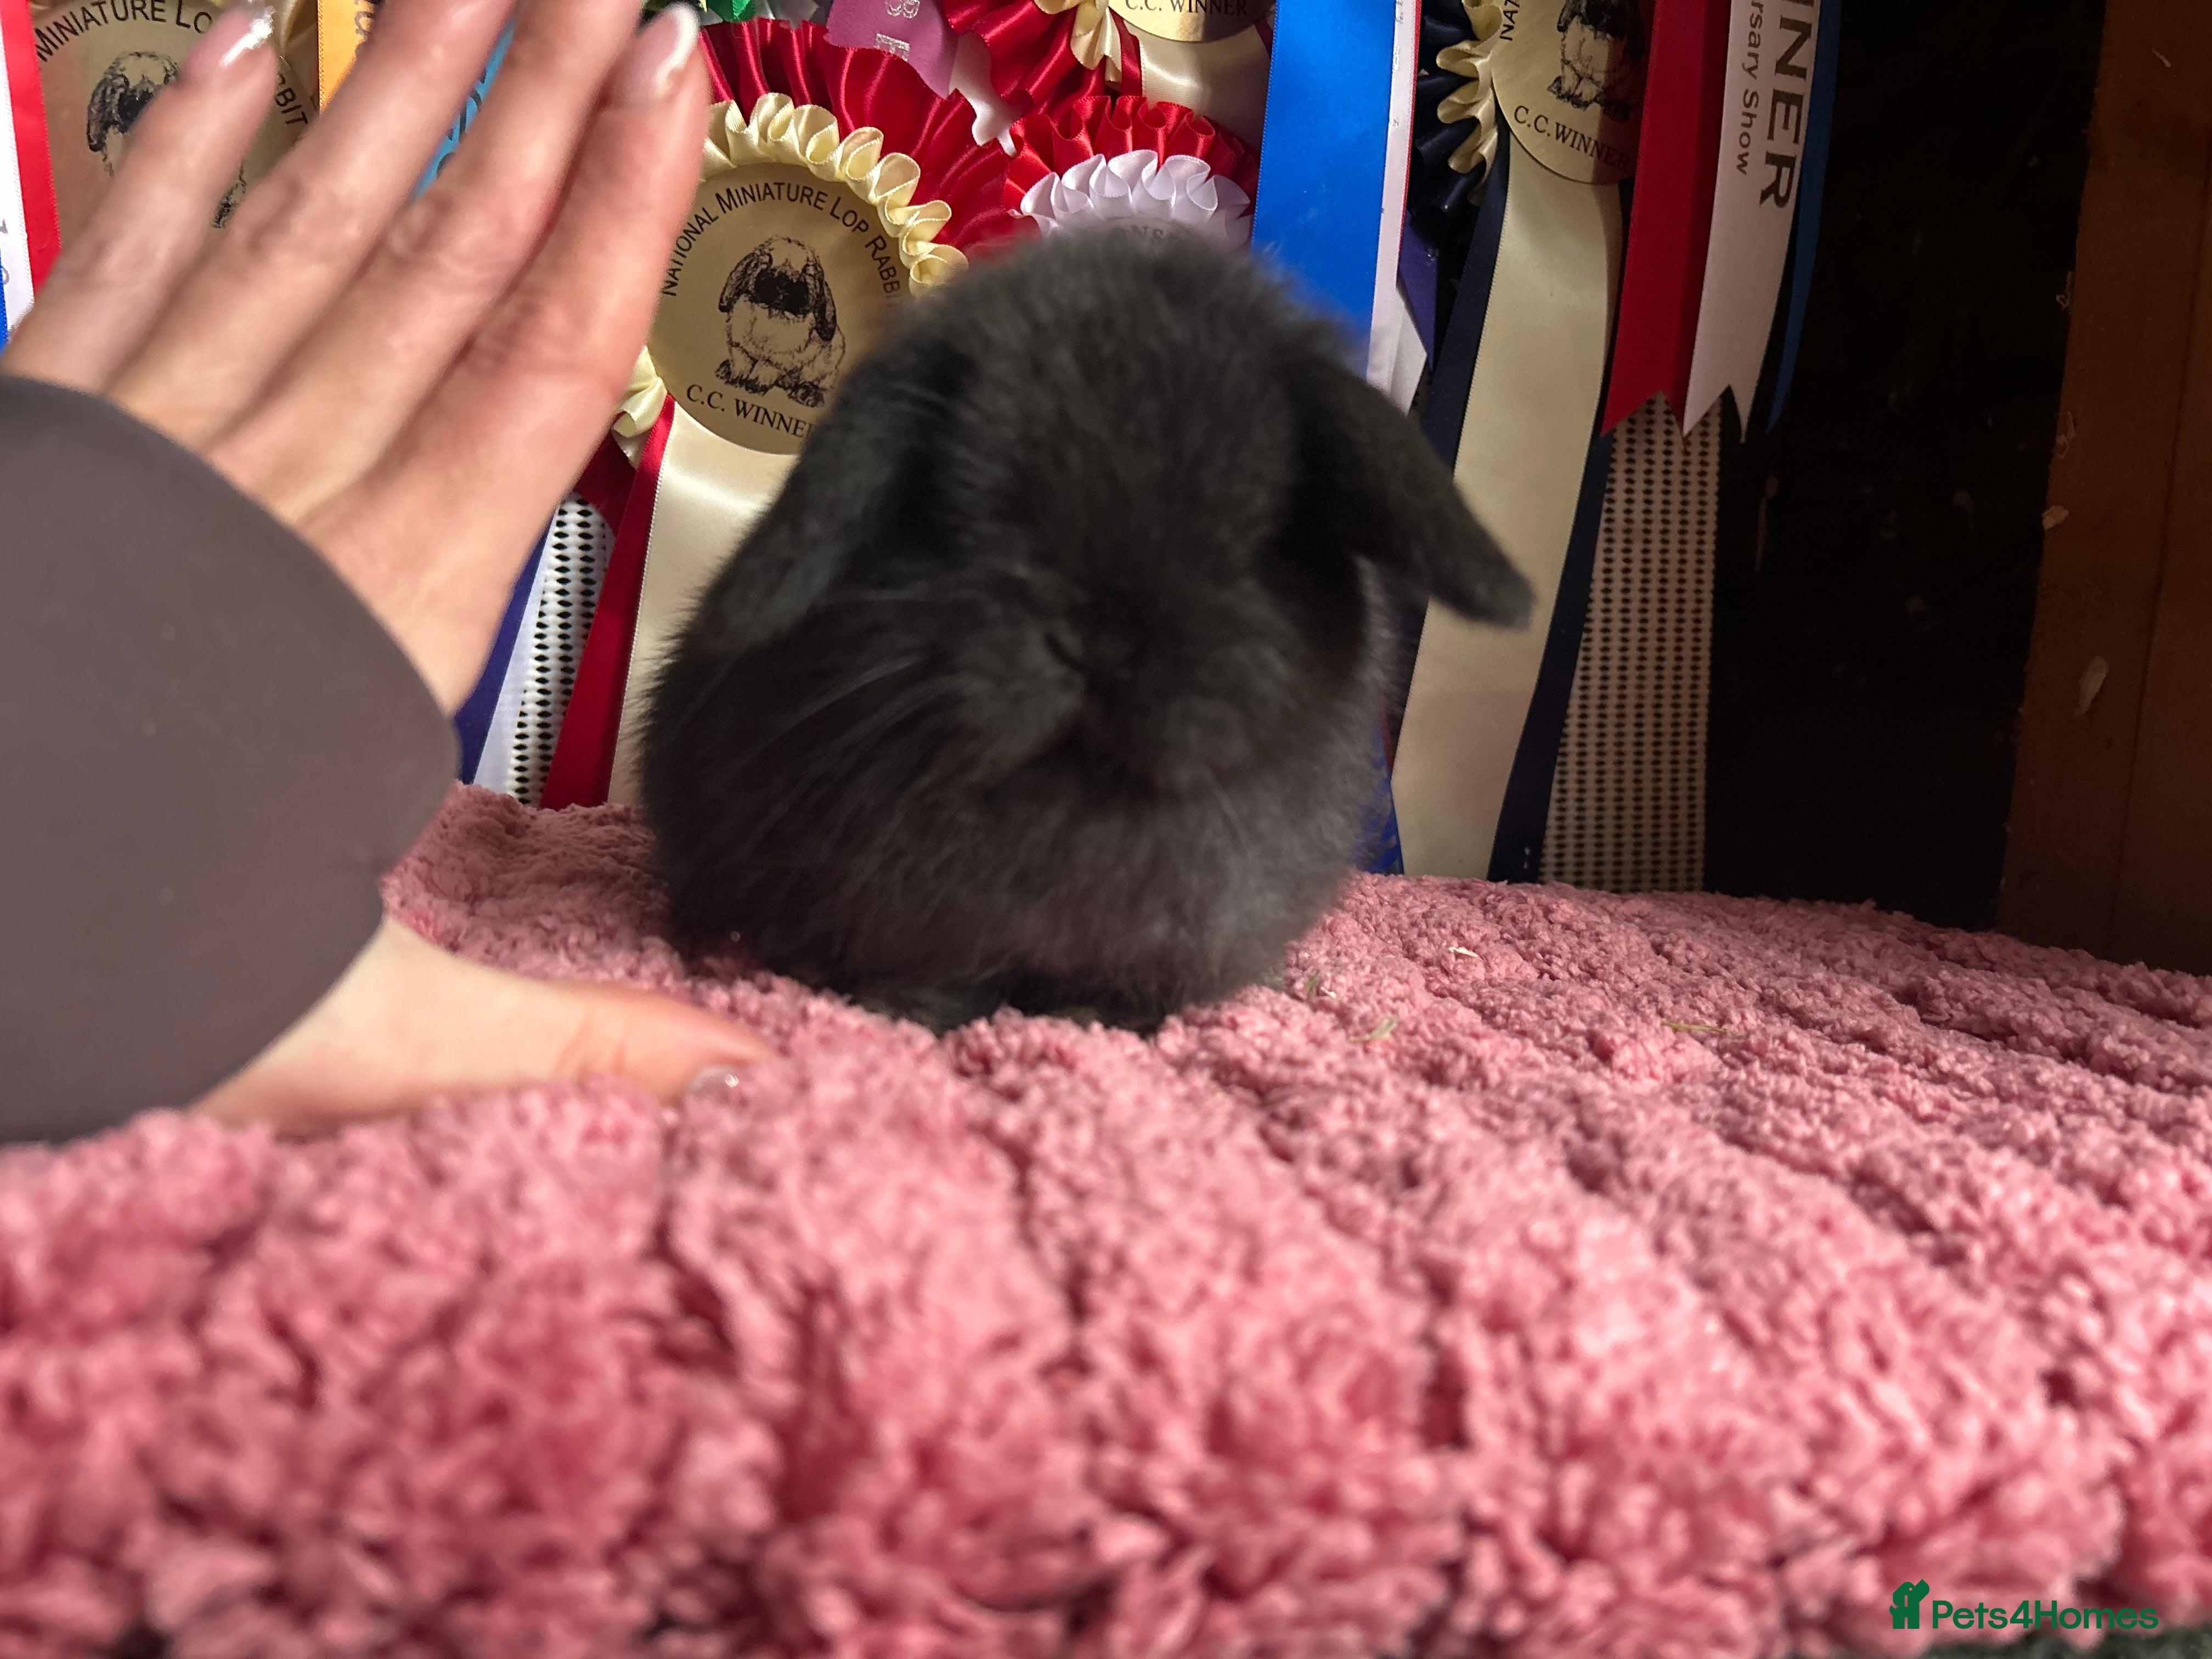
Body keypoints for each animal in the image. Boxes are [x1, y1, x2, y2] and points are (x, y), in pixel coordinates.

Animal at [640, 227, 1532, 1034]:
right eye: (954, 506)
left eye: (1266, 530)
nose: (1097, 638)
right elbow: (932, 976)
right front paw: (904, 1011)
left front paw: (1095, 1019)